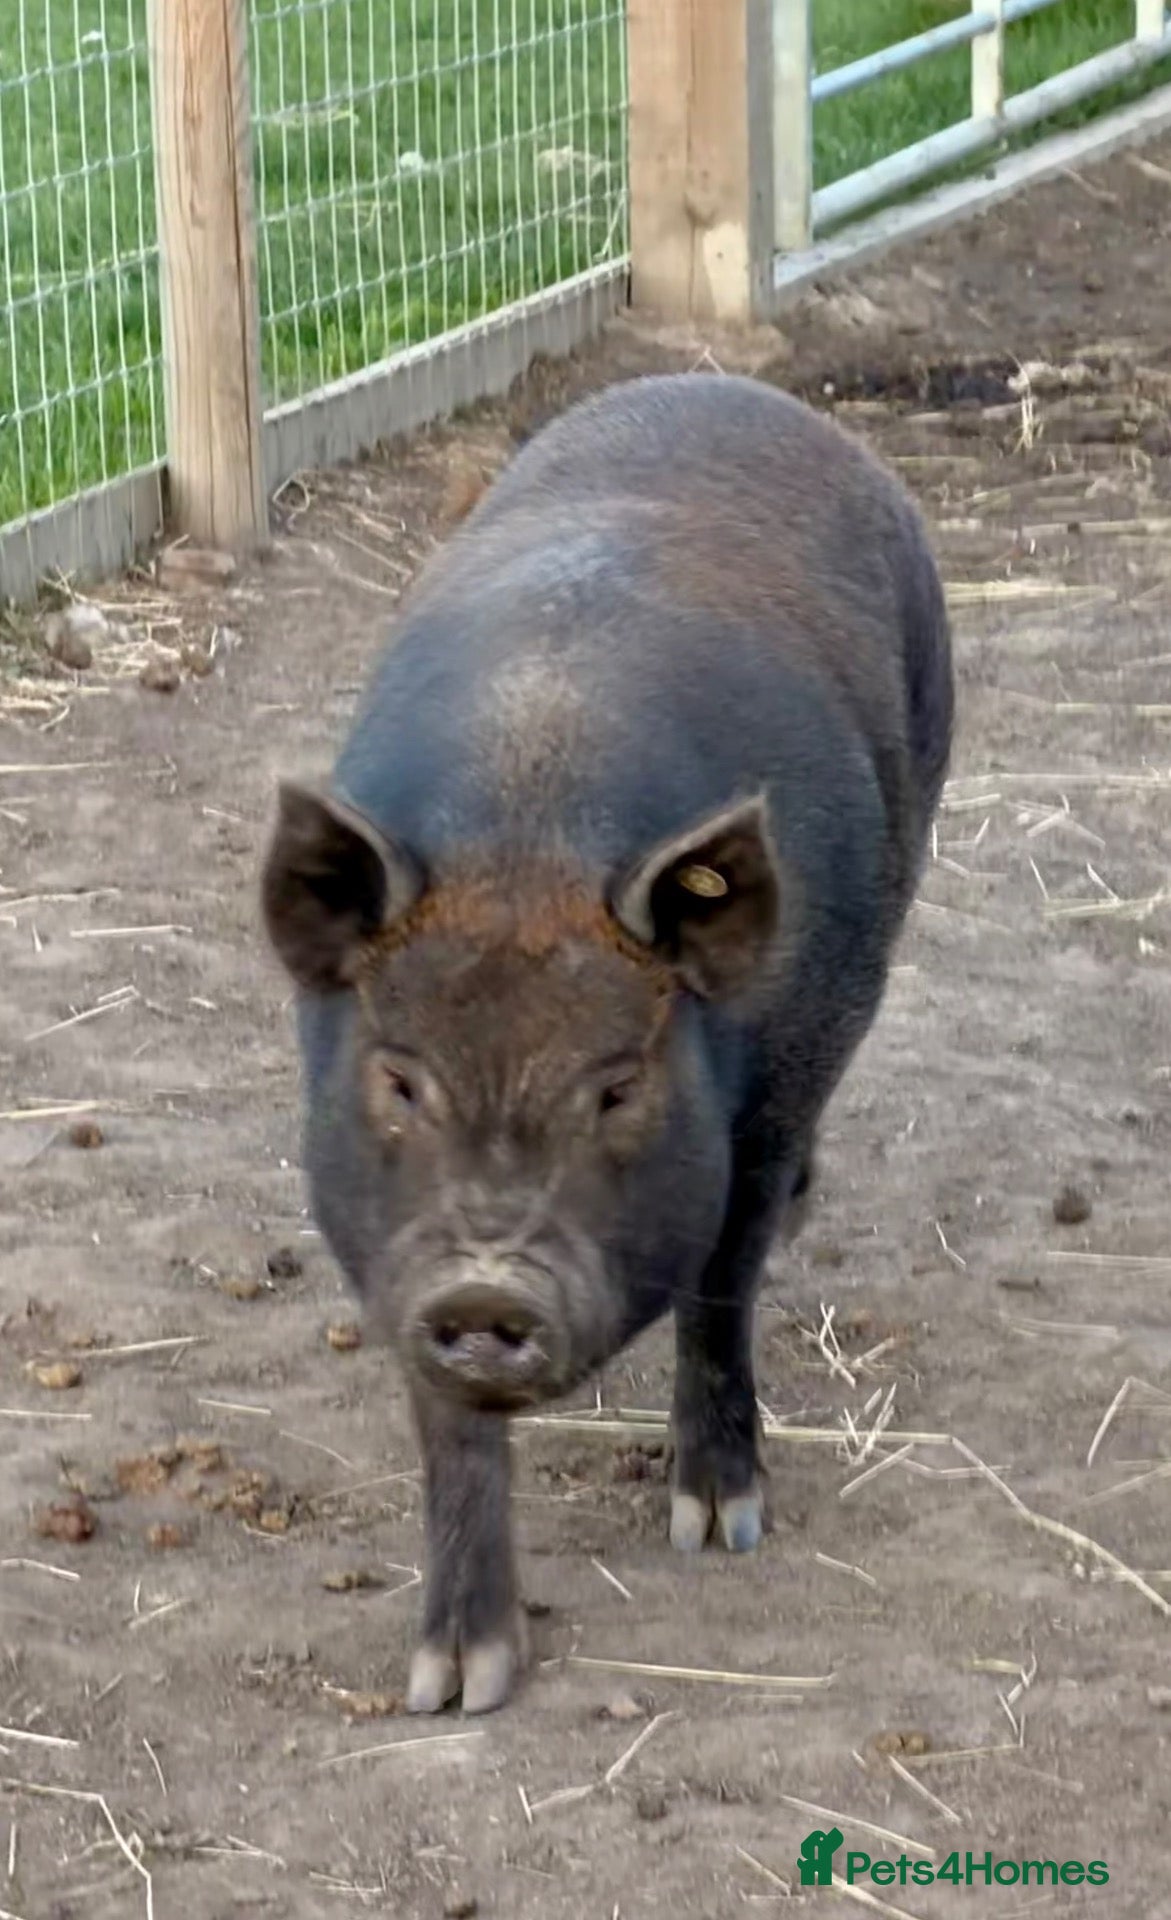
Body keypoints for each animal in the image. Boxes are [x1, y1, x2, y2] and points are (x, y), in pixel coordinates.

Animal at [261, 370, 953, 1715]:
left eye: (618, 1088)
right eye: (400, 1079)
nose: (488, 1283)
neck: (528, 839)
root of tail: (726, 386)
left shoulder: (780, 1076)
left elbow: (721, 1285)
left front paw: (721, 1528)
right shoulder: (391, 1241)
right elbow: (449, 1423)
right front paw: (456, 1685)